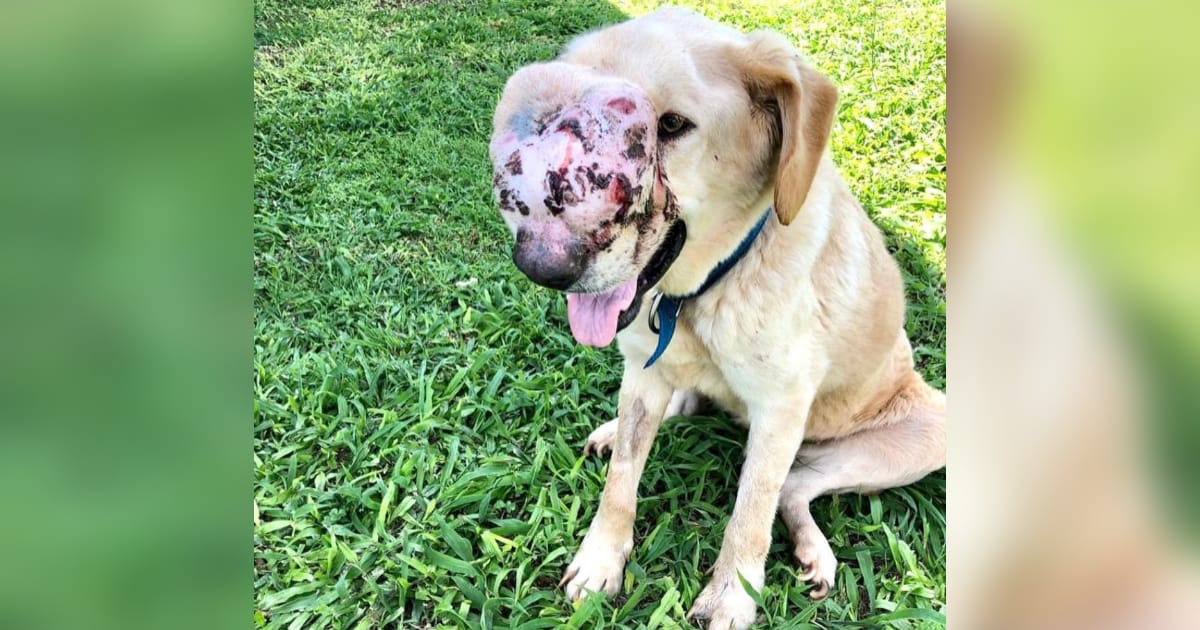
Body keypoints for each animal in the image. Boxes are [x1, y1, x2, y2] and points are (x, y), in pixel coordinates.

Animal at [487, 7, 945, 624]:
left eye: (672, 125)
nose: (541, 265)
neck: (698, 295)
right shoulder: (645, 371)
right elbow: (621, 479)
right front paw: (601, 561)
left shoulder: (781, 409)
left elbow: (751, 514)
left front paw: (731, 596)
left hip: (924, 433)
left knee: (794, 488)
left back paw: (814, 553)